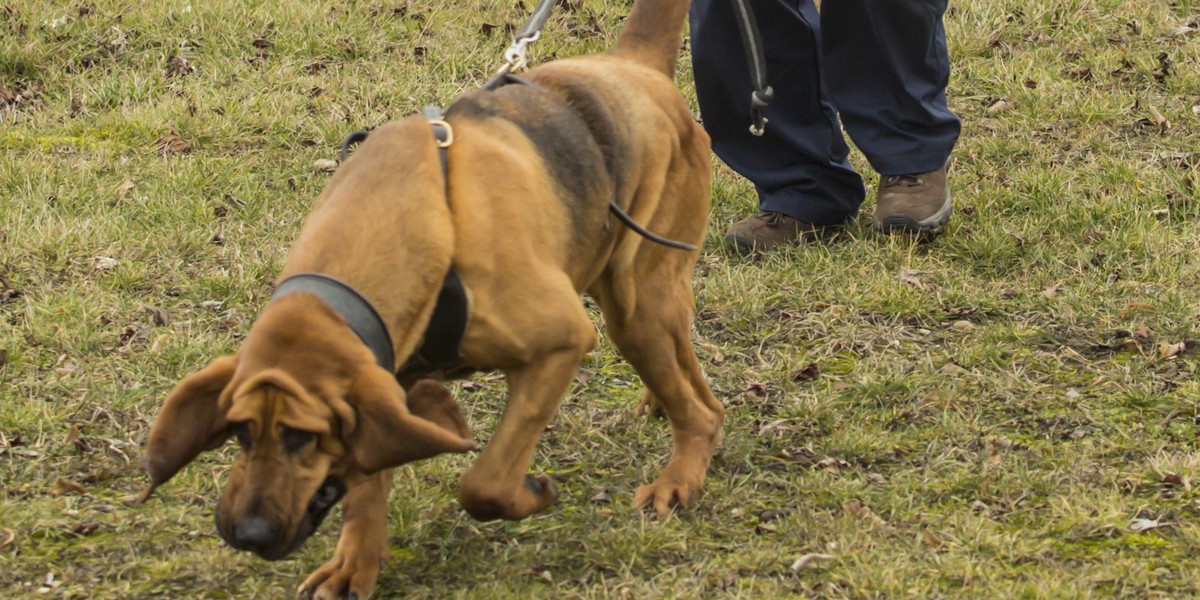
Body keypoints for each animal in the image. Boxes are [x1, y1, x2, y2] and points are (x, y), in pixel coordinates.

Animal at [140, 2, 720, 597]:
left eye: (302, 437)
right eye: (240, 431)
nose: (249, 535)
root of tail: (633, 64)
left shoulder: (559, 346)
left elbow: (485, 481)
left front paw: (528, 494)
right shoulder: (384, 381)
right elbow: (368, 483)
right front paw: (355, 563)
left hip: (638, 306)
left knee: (704, 410)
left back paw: (678, 478)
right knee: (682, 367)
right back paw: (657, 404)